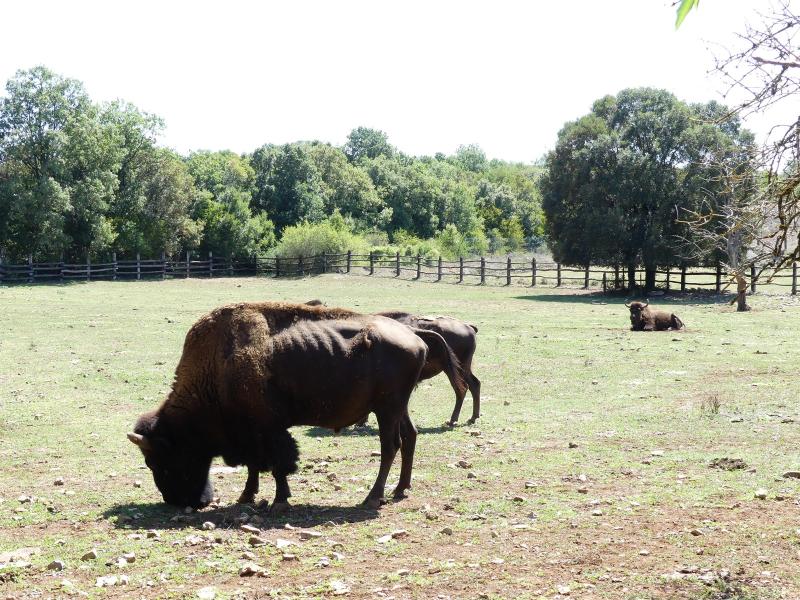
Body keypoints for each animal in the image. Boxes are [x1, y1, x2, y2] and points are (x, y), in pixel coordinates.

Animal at [128, 302, 466, 510]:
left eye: (159, 461)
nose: (177, 500)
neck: (218, 366)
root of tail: (414, 334)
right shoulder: (254, 433)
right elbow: (256, 466)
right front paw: (247, 496)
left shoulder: (268, 430)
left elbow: (279, 465)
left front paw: (279, 500)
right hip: (397, 408)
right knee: (409, 437)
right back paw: (400, 490)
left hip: (387, 409)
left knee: (390, 445)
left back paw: (373, 497)